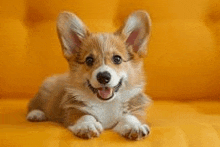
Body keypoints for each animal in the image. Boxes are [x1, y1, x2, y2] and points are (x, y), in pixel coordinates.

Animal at [26, 10, 151, 140]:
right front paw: (87, 126)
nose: (103, 77)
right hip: (44, 92)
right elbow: (85, 116)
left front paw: (135, 126)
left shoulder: (136, 109)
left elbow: (130, 117)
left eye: (117, 59)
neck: (105, 104)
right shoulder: (73, 110)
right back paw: (36, 114)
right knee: (33, 104)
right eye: (89, 60)